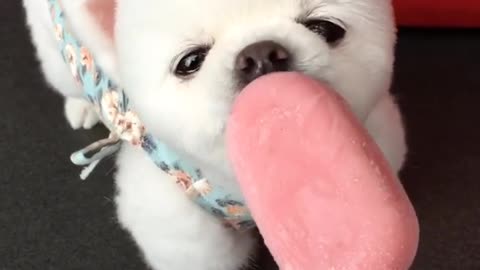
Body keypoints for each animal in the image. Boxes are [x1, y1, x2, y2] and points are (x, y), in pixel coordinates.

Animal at [21, 0, 404, 268]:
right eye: (190, 62)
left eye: (324, 27)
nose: (261, 54)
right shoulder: (180, 234)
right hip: (54, 51)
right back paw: (81, 107)